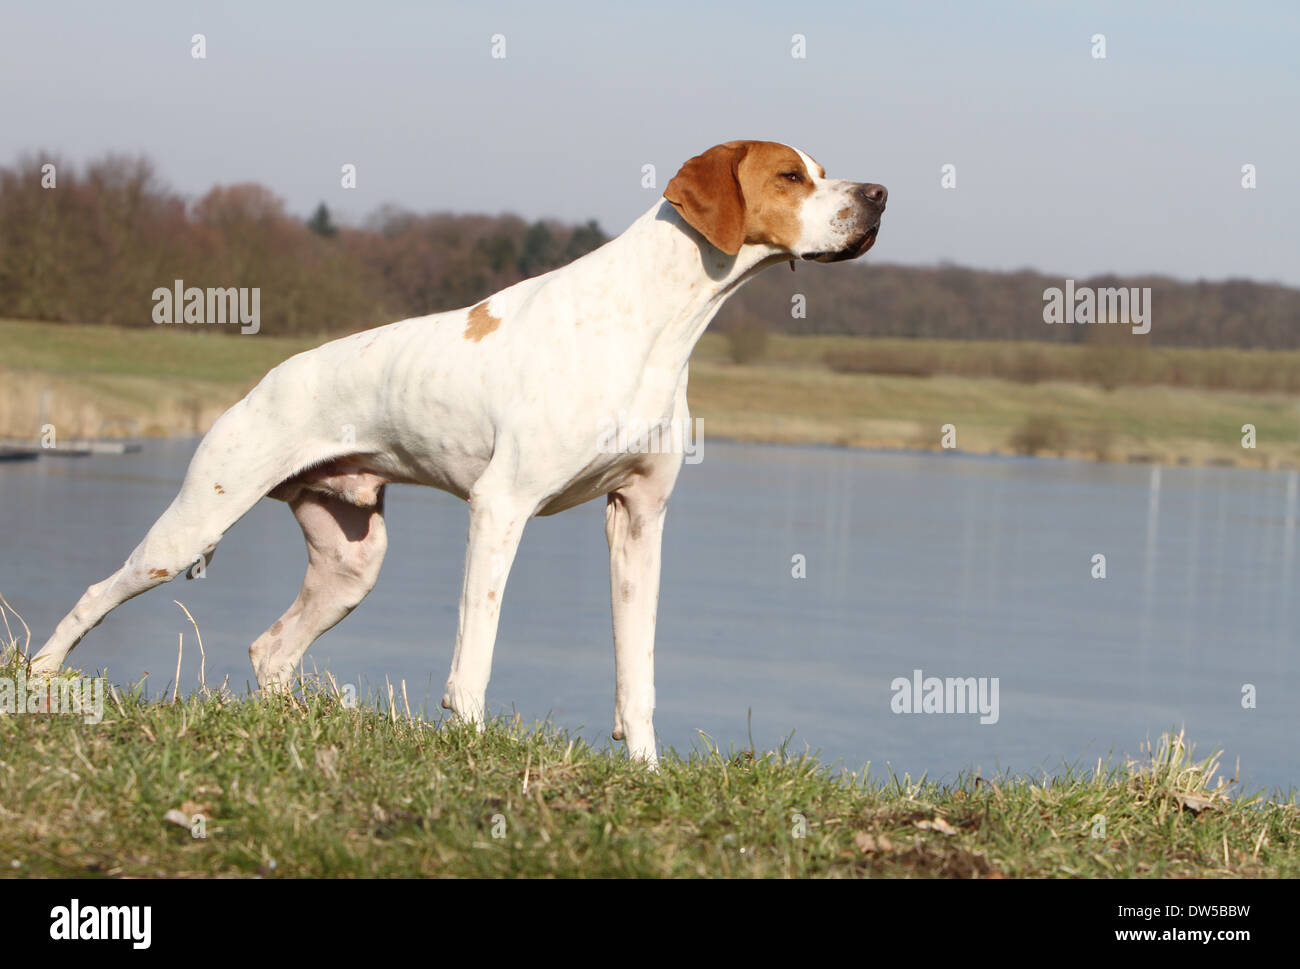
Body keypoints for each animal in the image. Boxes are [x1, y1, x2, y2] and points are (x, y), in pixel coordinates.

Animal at [32, 141, 883, 764]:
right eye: (790, 175)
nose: (878, 194)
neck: (653, 321)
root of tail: (268, 377)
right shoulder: (500, 506)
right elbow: (477, 648)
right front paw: (470, 743)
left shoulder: (639, 519)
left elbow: (636, 668)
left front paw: (645, 768)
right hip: (192, 527)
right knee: (95, 594)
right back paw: (40, 680)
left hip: (351, 563)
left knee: (271, 648)